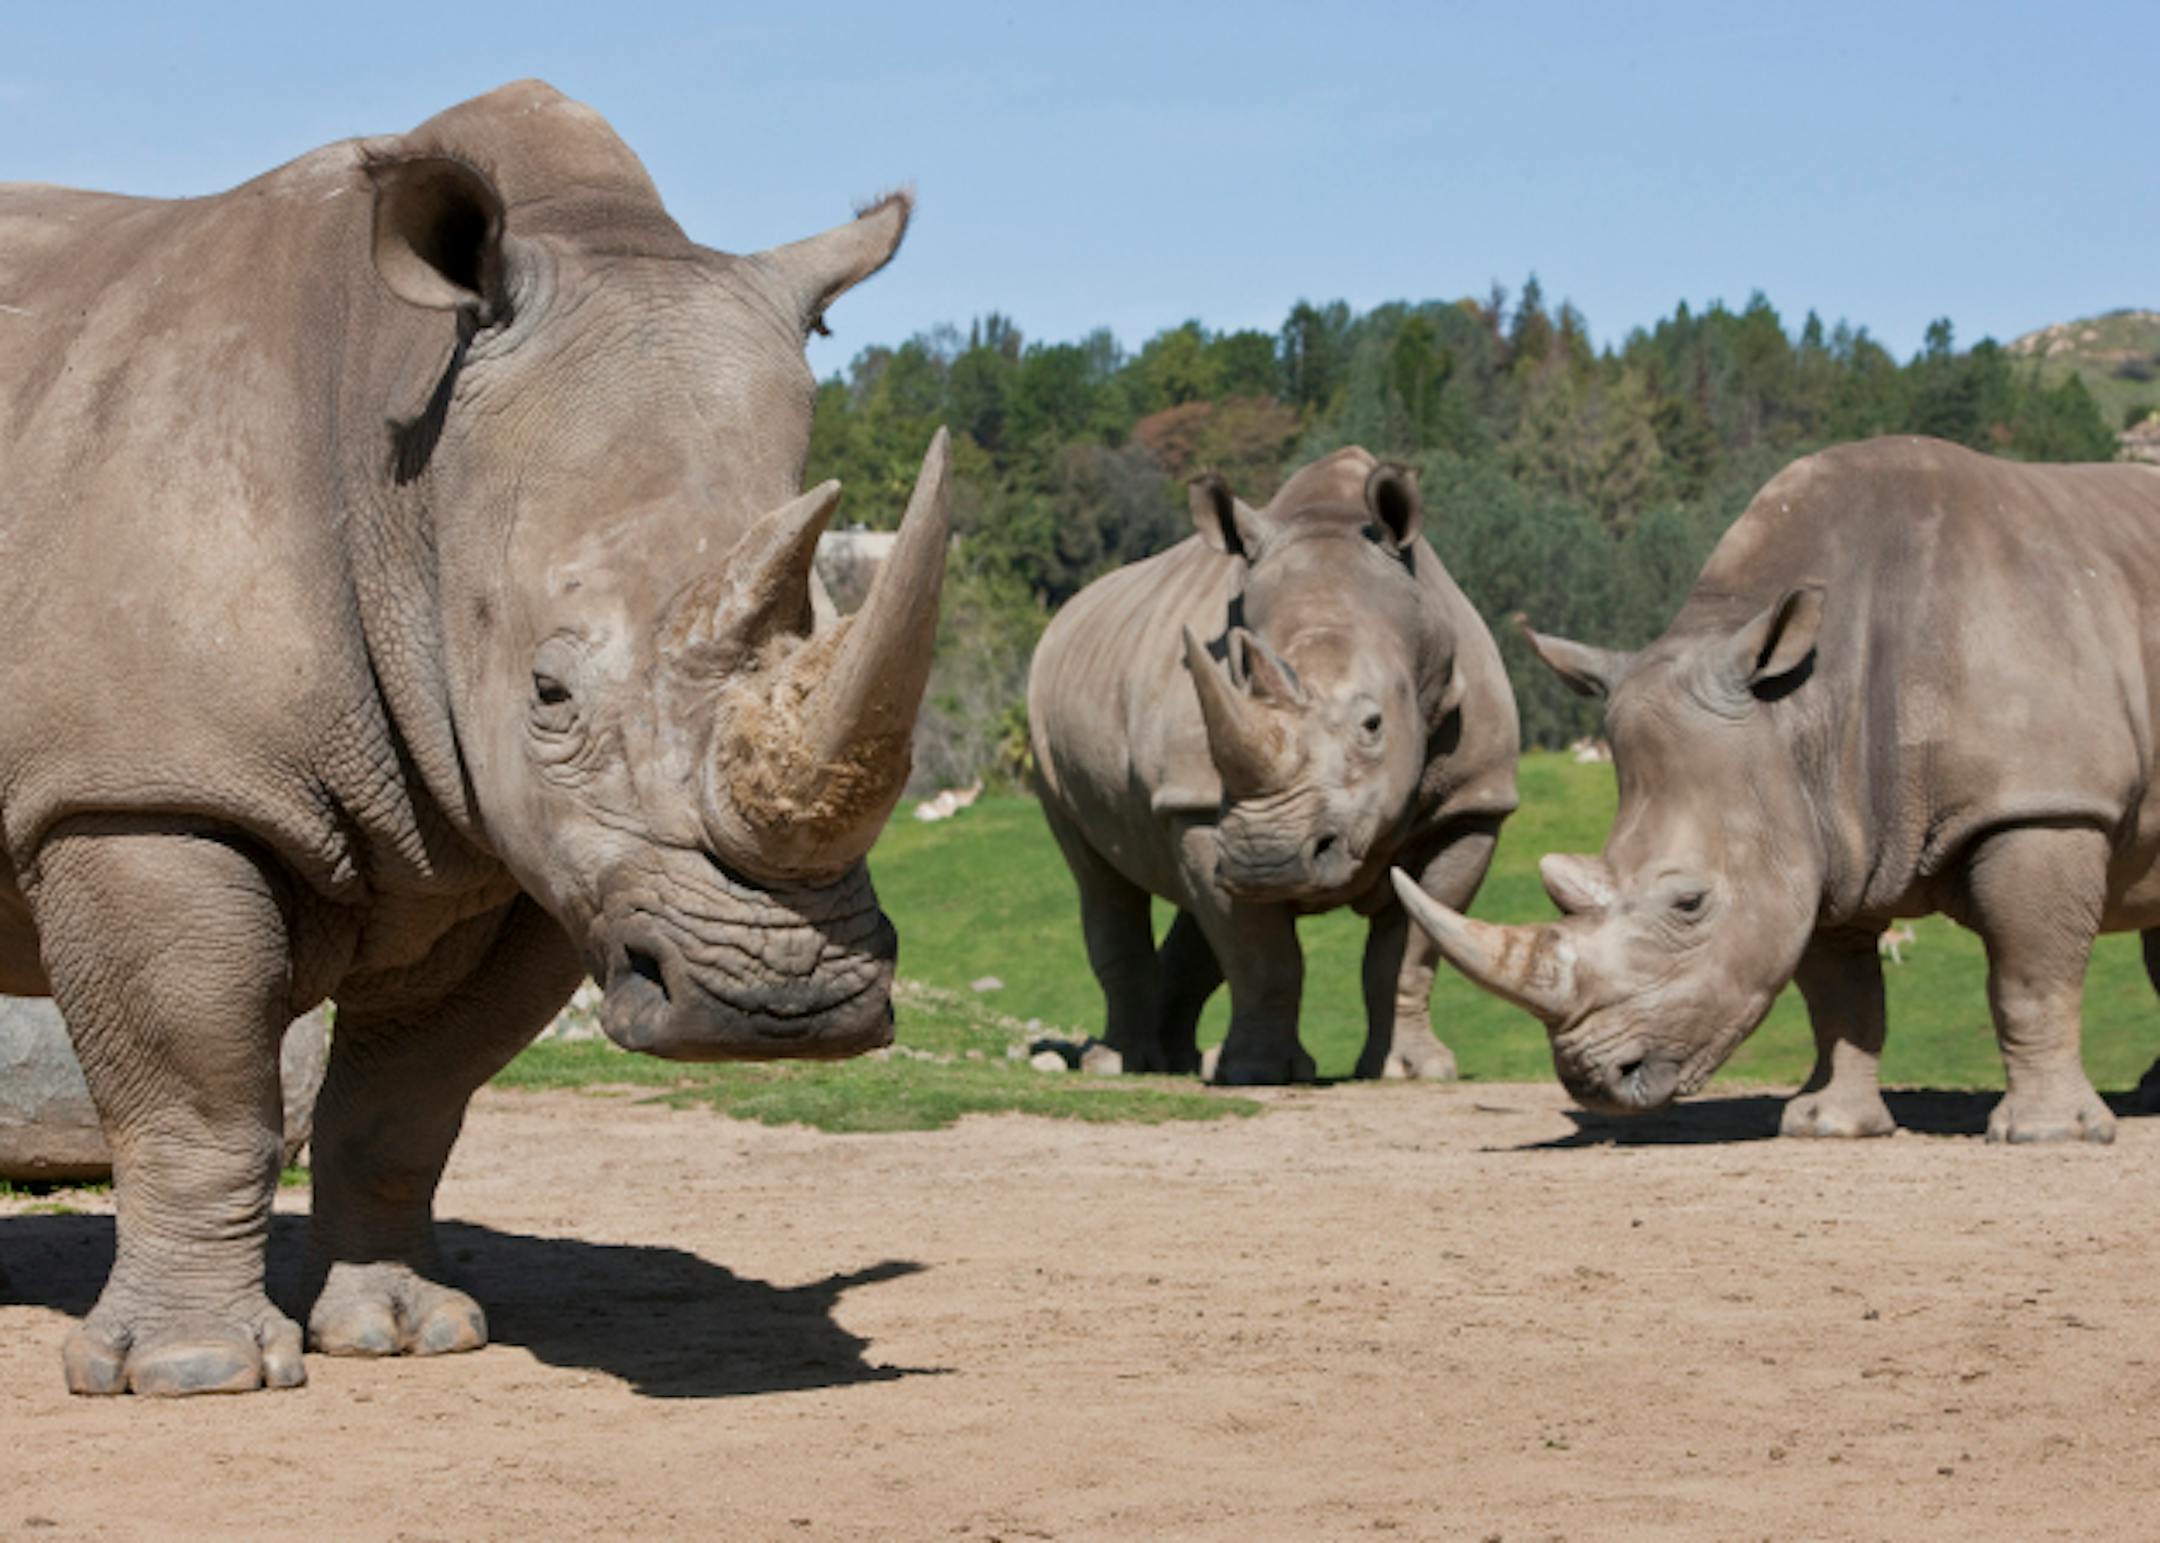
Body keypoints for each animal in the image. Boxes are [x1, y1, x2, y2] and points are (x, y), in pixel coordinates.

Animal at [0, 81, 951, 1395]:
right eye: (549, 693)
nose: (783, 1004)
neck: (405, 470)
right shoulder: (143, 787)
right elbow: (200, 1095)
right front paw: (196, 1372)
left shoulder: (513, 845)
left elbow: (407, 1100)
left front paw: (406, 1333)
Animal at [1029, 448, 1519, 1084]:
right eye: (1237, 680)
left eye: (1373, 725)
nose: (1267, 859)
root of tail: (1067, 613)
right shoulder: (1198, 803)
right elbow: (1260, 954)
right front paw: (1257, 1073)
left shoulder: (1472, 805)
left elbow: (1411, 947)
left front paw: (1411, 1070)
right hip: (1045, 725)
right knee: (1101, 881)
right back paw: (1120, 1065)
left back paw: (1176, 1062)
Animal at [1392, 435, 2160, 1142]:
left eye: (1690, 903)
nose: (1593, 1080)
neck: (1804, 710)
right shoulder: (1827, 831)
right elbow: (1840, 992)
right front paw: (1827, 1124)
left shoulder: (2045, 805)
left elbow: (2030, 975)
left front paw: (2046, 1133)